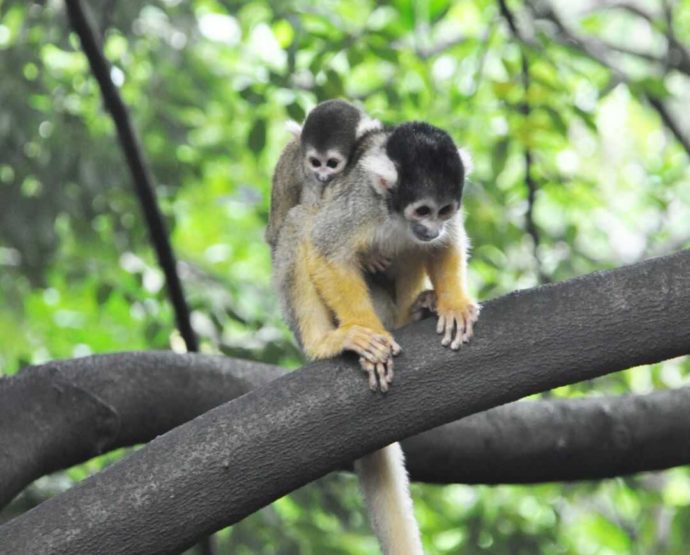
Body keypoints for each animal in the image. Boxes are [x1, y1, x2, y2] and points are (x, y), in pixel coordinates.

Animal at [270, 121, 478, 555]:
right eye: (422, 210)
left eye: (444, 211)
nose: (431, 227)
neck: (393, 211)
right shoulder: (360, 203)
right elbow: (325, 247)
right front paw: (366, 336)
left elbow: (447, 244)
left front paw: (453, 304)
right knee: (301, 222)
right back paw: (326, 341)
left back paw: (413, 311)